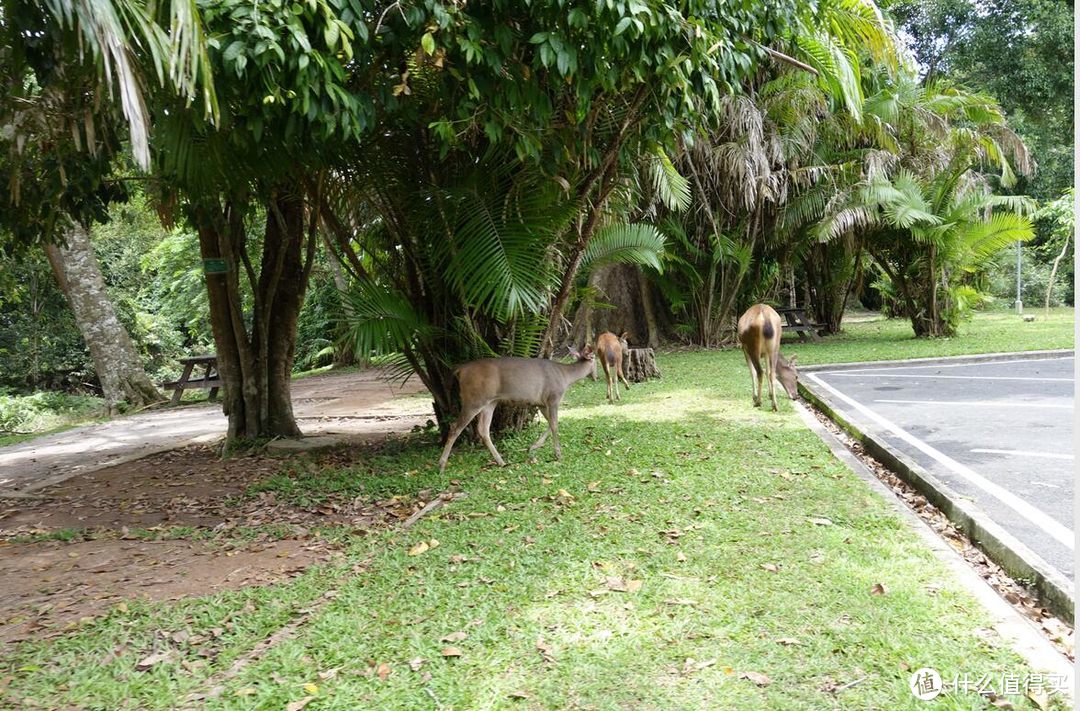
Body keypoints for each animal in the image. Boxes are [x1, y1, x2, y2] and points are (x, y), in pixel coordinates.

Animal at [436, 345, 600, 471]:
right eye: (595, 358)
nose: (596, 376)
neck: (565, 378)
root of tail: (460, 369)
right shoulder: (553, 397)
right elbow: (554, 424)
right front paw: (558, 454)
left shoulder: (541, 403)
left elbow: (551, 423)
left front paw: (533, 447)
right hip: (473, 399)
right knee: (455, 427)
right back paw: (442, 464)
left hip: (490, 402)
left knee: (483, 429)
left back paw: (501, 461)